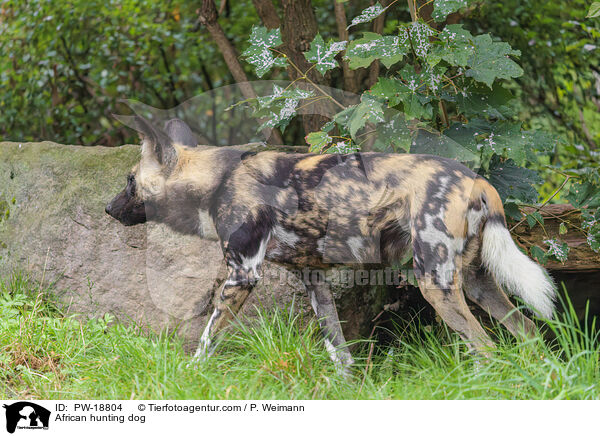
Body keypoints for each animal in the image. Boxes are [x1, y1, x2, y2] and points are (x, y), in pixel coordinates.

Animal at [104, 116, 556, 372]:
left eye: (128, 180)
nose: (108, 208)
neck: (216, 181)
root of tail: (476, 178)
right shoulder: (315, 282)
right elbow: (339, 351)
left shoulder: (243, 275)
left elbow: (206, 337)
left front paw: (191, 375)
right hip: (476, 281)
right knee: (528, 331)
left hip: (436, 284)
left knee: (487, 347)